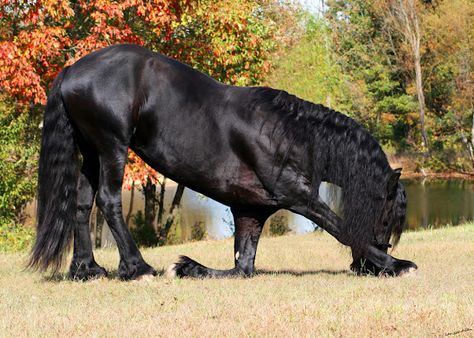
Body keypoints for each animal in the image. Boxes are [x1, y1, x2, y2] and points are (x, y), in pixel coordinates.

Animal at [28, 43, 418, 280]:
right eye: (386, 216)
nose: (366, 268)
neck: (287, 133)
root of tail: (72, 70)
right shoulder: (298, 196)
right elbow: (340, 227)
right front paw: (398, 263)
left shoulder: (251, 212)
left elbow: (242, 266)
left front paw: (189, 267)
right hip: (112, 147)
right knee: (109, 202)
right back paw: (137, 267)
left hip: (90, 151)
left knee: (82, 204)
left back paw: (86, 268)